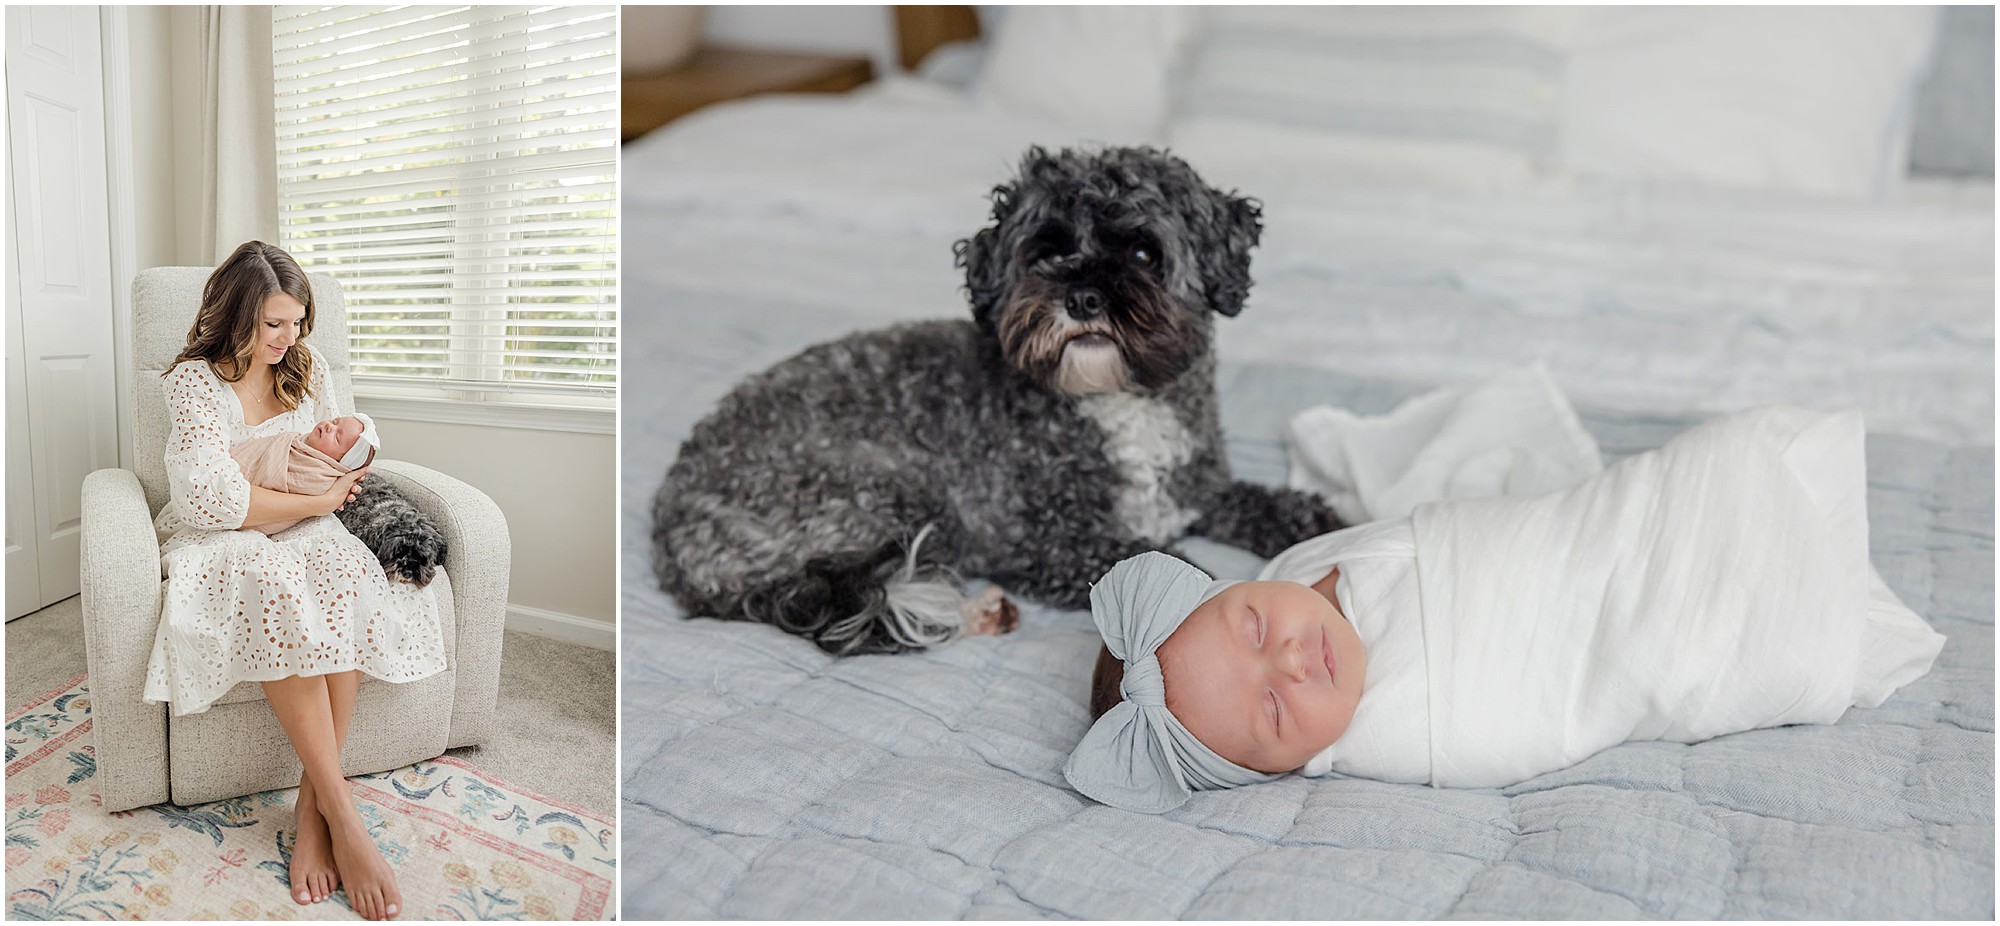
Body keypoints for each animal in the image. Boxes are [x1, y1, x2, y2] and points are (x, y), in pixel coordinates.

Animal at [656, 145, 1344, 656]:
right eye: (1046, 251)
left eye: (1145, 252)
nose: (1083, 297)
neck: (1115, 402)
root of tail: (672, 535)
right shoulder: (1041, 543)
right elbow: (1162, 565)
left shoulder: (1196, 487)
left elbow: (1254, 501)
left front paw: (1322, 522)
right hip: (887, 491)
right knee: (870, 591)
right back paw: (973, 611)